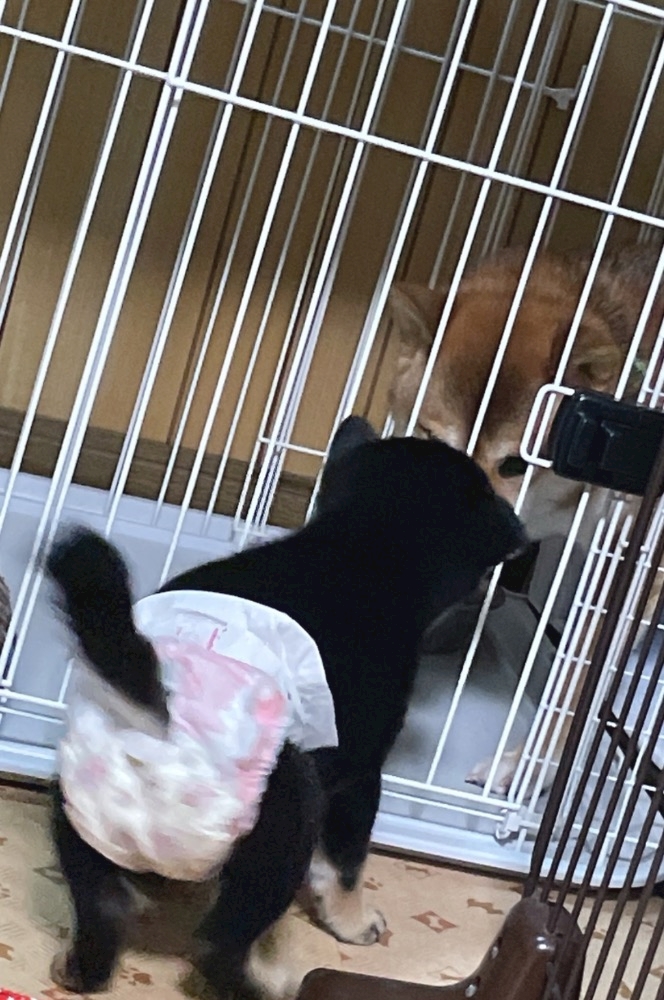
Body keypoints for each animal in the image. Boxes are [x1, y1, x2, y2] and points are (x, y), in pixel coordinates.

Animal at [45, 416, 525, 1000]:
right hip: (288, 815)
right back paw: (268, 986)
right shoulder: (360, 777)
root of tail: (156, 718)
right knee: (219, 947)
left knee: (101, 914)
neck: (359, 546)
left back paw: (80, 965)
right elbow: (346, 865)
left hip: (80, 812)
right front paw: (354, 923)